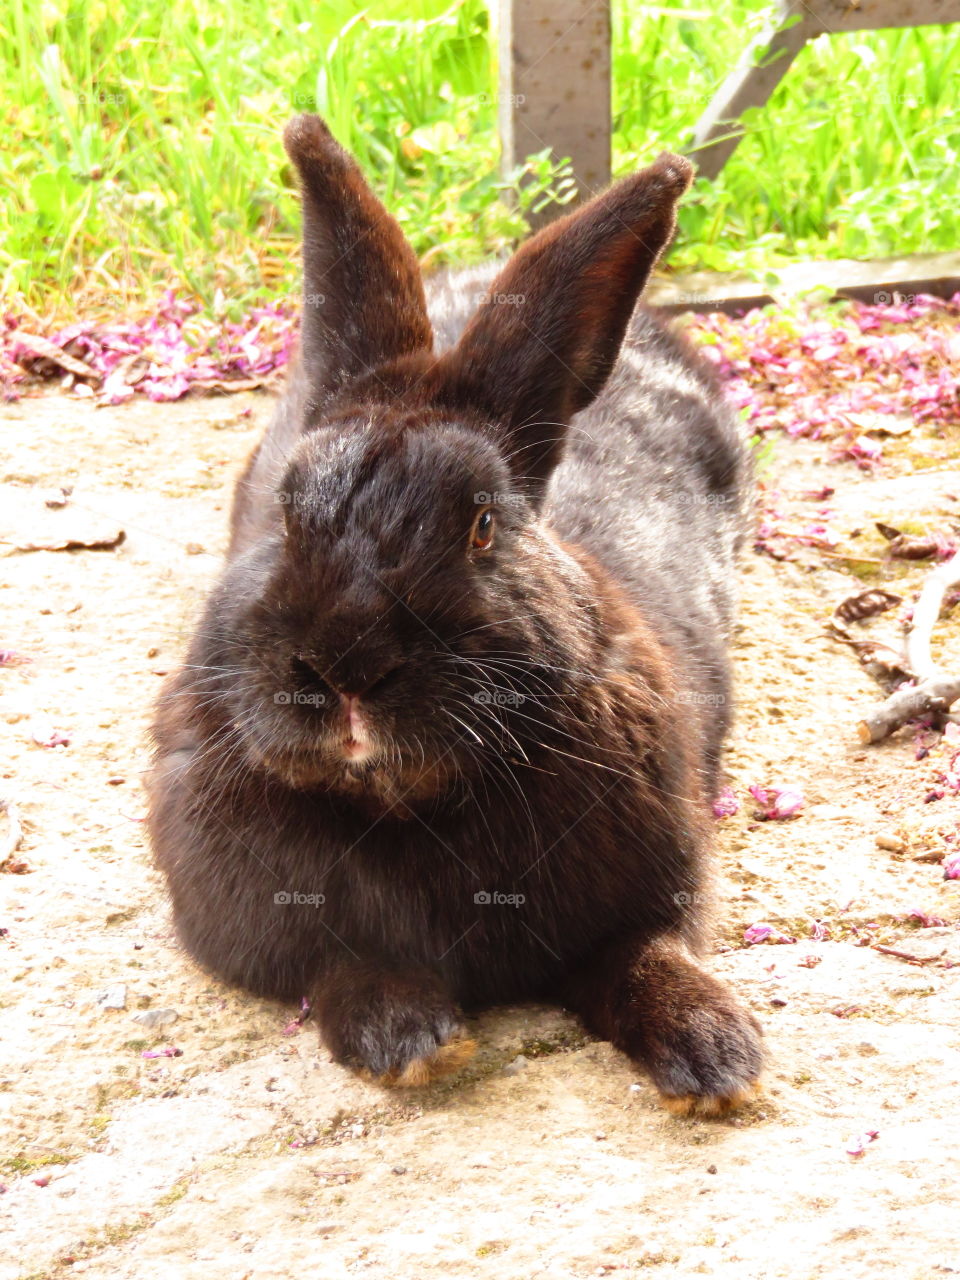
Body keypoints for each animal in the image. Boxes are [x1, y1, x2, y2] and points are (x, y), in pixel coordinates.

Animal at [148, 113, 762, 1113]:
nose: (346, 667)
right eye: (286, 509)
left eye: (482, 525)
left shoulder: (649, 890)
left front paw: (716, 1055)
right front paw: (412, 1040)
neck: (400, 805)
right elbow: (340, 967)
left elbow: (647, 956)